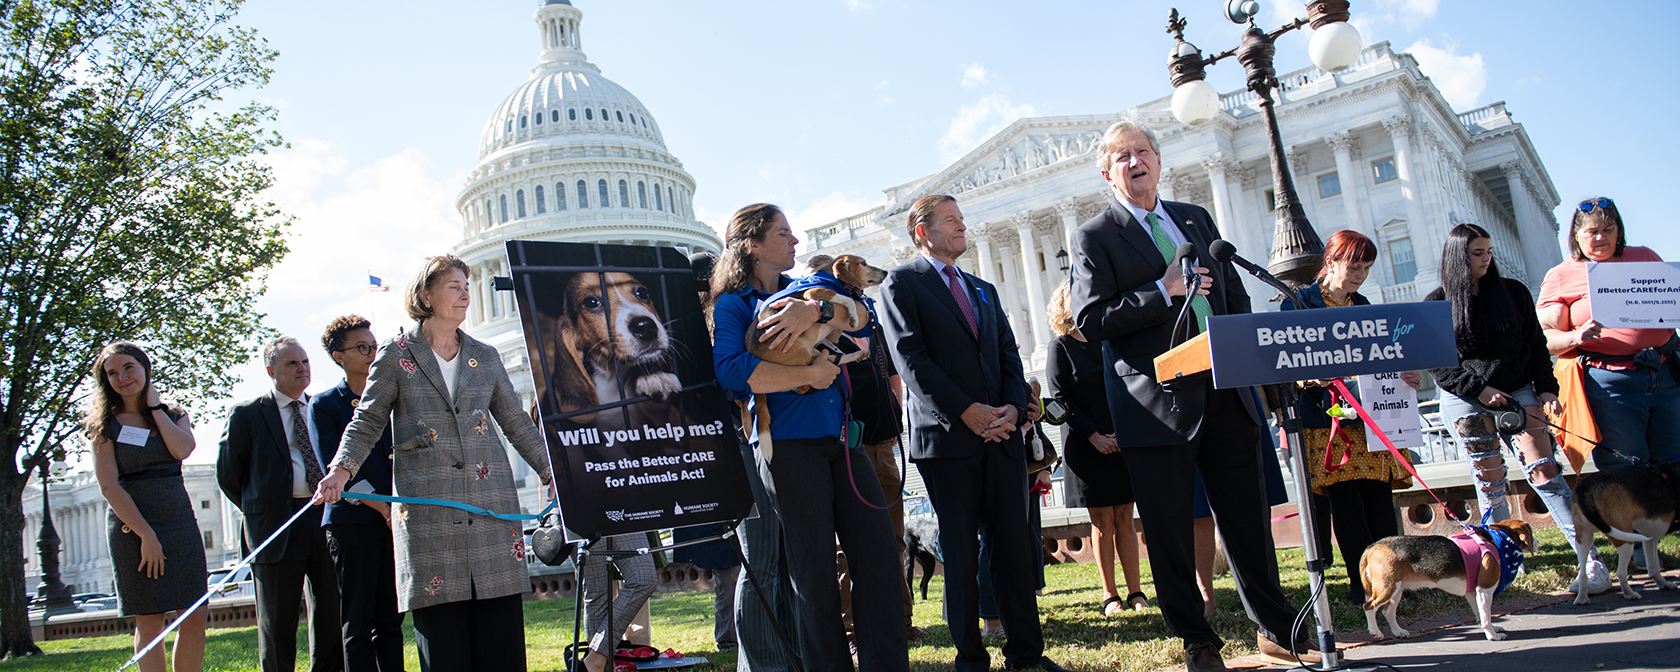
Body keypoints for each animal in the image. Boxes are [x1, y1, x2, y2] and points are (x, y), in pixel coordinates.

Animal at [1357, 520, 1538, 641]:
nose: (1536, 542)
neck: (1495, 538)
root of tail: (1372, 547)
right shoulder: (1484, 589)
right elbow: (1486, 616)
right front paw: (1492, 635)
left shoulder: (1473, 592)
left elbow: (1481, 613)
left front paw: (1492, 629)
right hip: (1386, 589)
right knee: (1369, 606)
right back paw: (1375, 632)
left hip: (1397, 590)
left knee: (1388, 611)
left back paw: (1398, 632)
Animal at [1565, 463, 1673, 604]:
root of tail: (1584, 486)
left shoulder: (1651, 539)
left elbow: (1654, 568)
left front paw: (1664, 584)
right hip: (1625, 539)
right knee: (1621, 573)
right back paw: (1630, 594)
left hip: (1583, 538)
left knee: (1583, 573)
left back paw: (1582, 599)